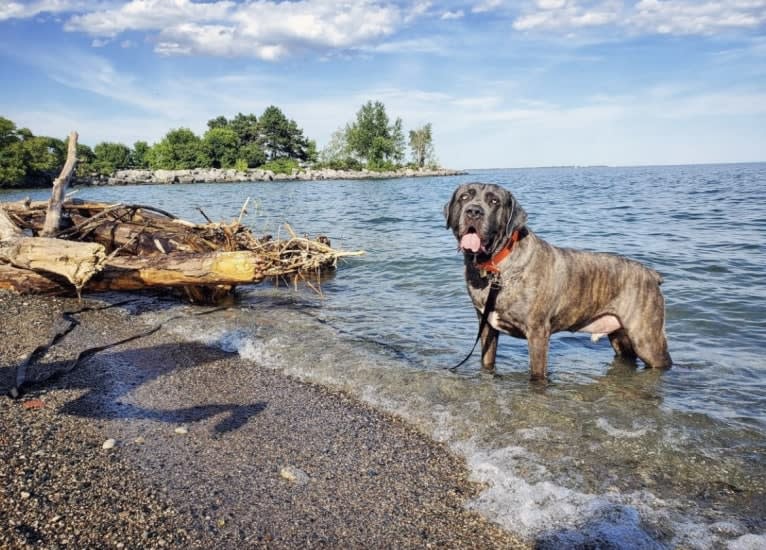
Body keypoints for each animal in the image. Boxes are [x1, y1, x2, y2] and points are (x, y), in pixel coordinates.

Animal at [444, 183, 672, 382]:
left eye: (494, 201)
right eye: (464, 197)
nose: (474, 211)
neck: (495, 266)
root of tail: (652, 274)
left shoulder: (537, 333)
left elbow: (537, 374)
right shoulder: (487, 327)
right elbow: (487, 362)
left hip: (646, 339)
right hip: (620, 337)